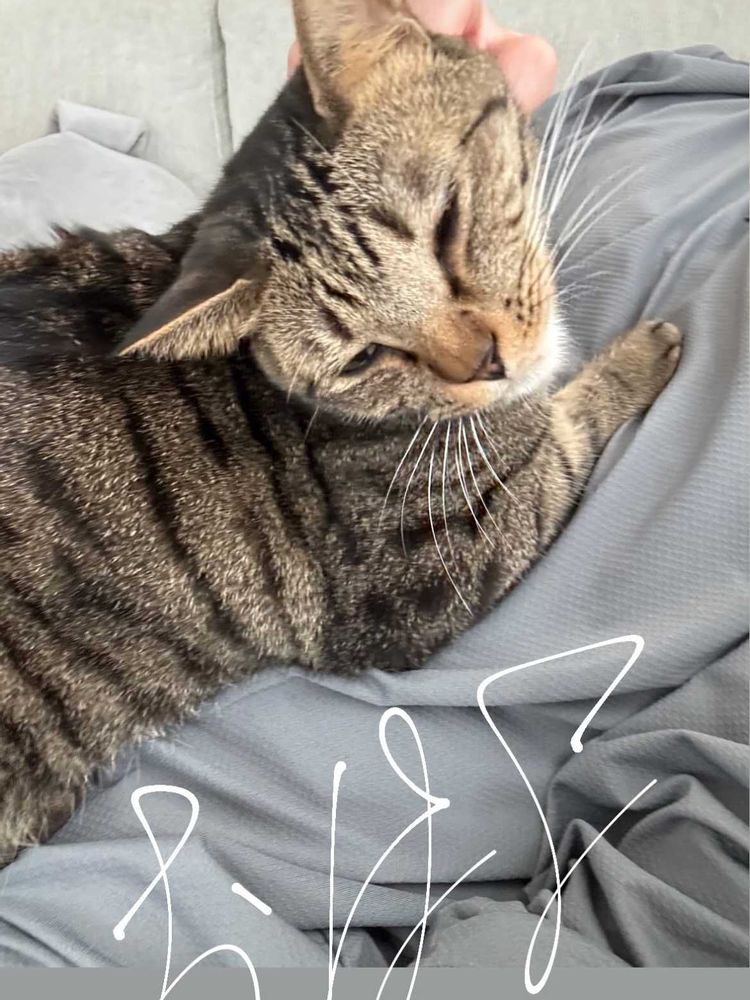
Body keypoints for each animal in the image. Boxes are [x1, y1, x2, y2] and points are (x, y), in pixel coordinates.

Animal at [0, 0, 682, 862]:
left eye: (448, 227)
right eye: (364, 356)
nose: (486, 362)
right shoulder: (430, 571)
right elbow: (563, 432)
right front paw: (641, 354)